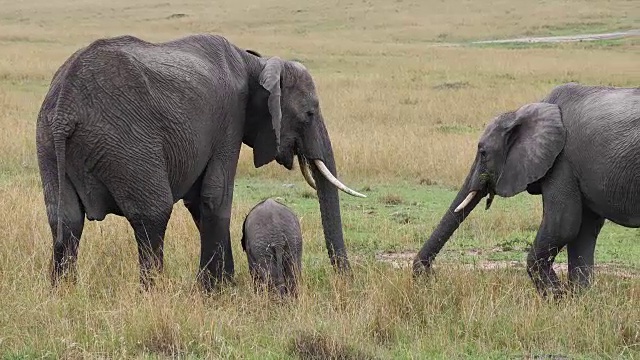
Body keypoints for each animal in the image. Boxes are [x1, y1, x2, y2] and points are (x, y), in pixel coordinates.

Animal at [36, 33, 364, 292]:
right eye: (309, 114)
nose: (346, 280)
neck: (256, 63)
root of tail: (66, 105)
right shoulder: (230, 118)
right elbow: (215, 195)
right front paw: (218, 290)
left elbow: (197, 201)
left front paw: (221, 284)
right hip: (126, 141)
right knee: (153, 213)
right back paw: (154, 293)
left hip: (47, 142)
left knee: (65, 217)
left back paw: (63, 292)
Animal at [412, 83, 640, 296]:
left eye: (483, 153)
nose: (428, 277)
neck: (523, 112)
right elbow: (583, 230)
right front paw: (577, 300)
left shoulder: (561, 162)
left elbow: (563, 227)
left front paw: (556, 298)